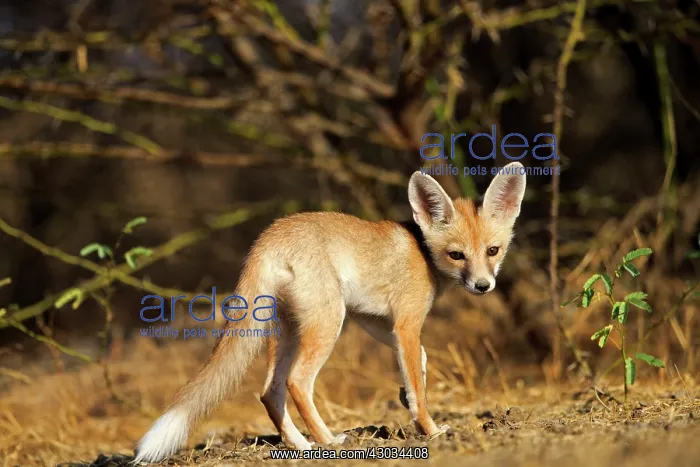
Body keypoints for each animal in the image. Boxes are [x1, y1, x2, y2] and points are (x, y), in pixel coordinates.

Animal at [133, 161, 527, 464]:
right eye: (457, 255)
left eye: (493, 251)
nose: (483, 286)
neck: (423, 253)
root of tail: (270, 236)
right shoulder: (405, 322)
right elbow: (418, 388)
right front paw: (429, 429)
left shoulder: (371, 318)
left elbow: (421, 362)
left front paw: (408, 393)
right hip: (327, 324)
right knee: (296, 382)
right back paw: (327, 441)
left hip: (289, 331)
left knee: (269, 392)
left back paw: (300, 446)